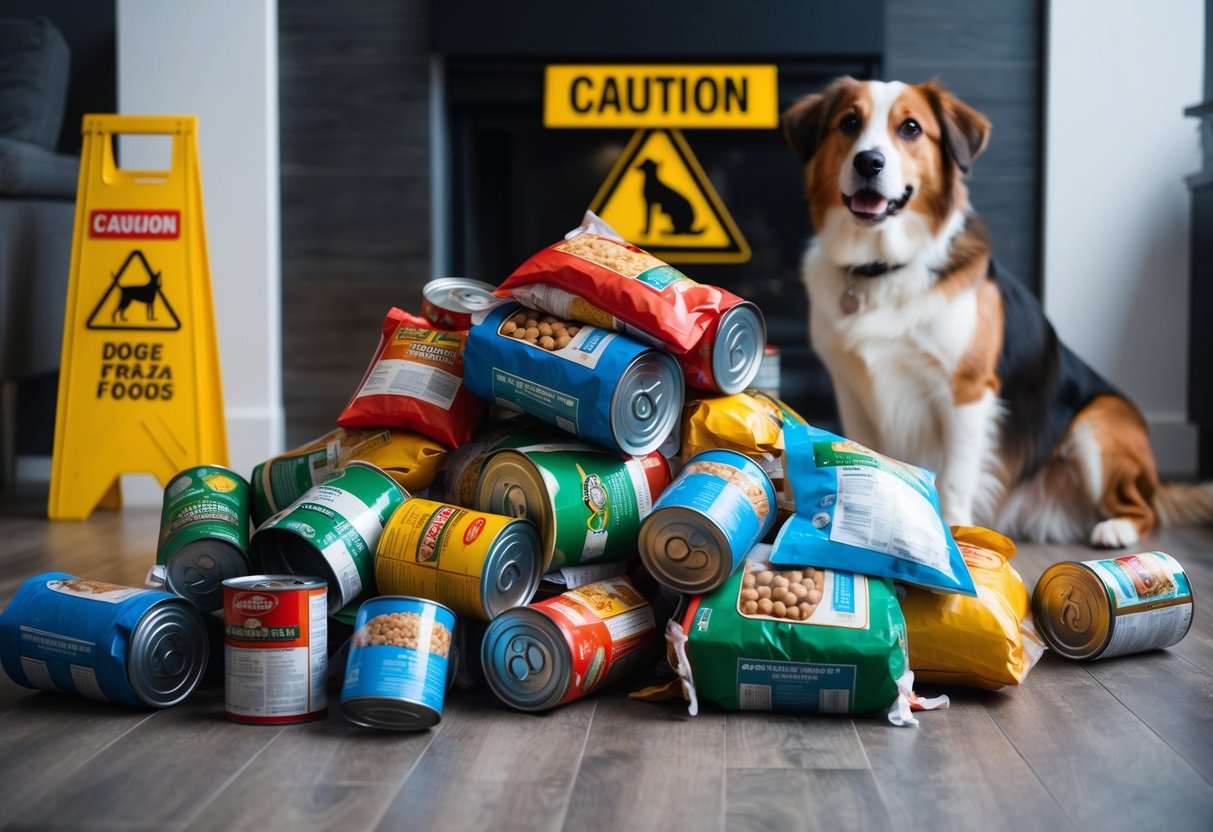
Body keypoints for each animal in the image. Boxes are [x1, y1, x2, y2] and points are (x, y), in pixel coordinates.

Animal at [781, 76, 1208, 548]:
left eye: (911, 128)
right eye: (849, 123)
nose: (868, 162)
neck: (881, 269)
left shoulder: (967, 390)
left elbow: (955, 475)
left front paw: (953, 532)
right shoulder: (852, 390)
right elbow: (861, 452)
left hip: (1101, 421)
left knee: (1144, 508)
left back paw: (1117, 528)